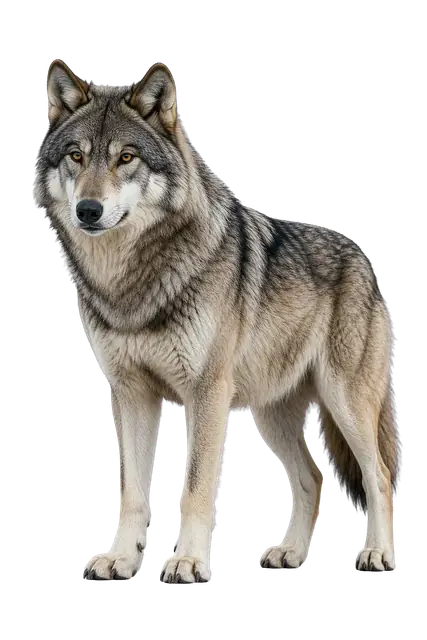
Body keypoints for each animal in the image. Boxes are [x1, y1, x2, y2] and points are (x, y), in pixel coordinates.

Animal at [34, 59, 399, 582]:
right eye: (76, 157)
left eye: (126, 158)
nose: (88, 210)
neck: (131, 283)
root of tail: (364, 260)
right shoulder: (131, 394)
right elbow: (131, 492)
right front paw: (121, 559)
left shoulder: (206, 395)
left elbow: (196, 490)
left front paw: (186, 562)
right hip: (271, 415)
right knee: (312, 478)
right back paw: (289, 553)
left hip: (345, 403)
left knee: (379, 475)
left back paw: (378, 554)